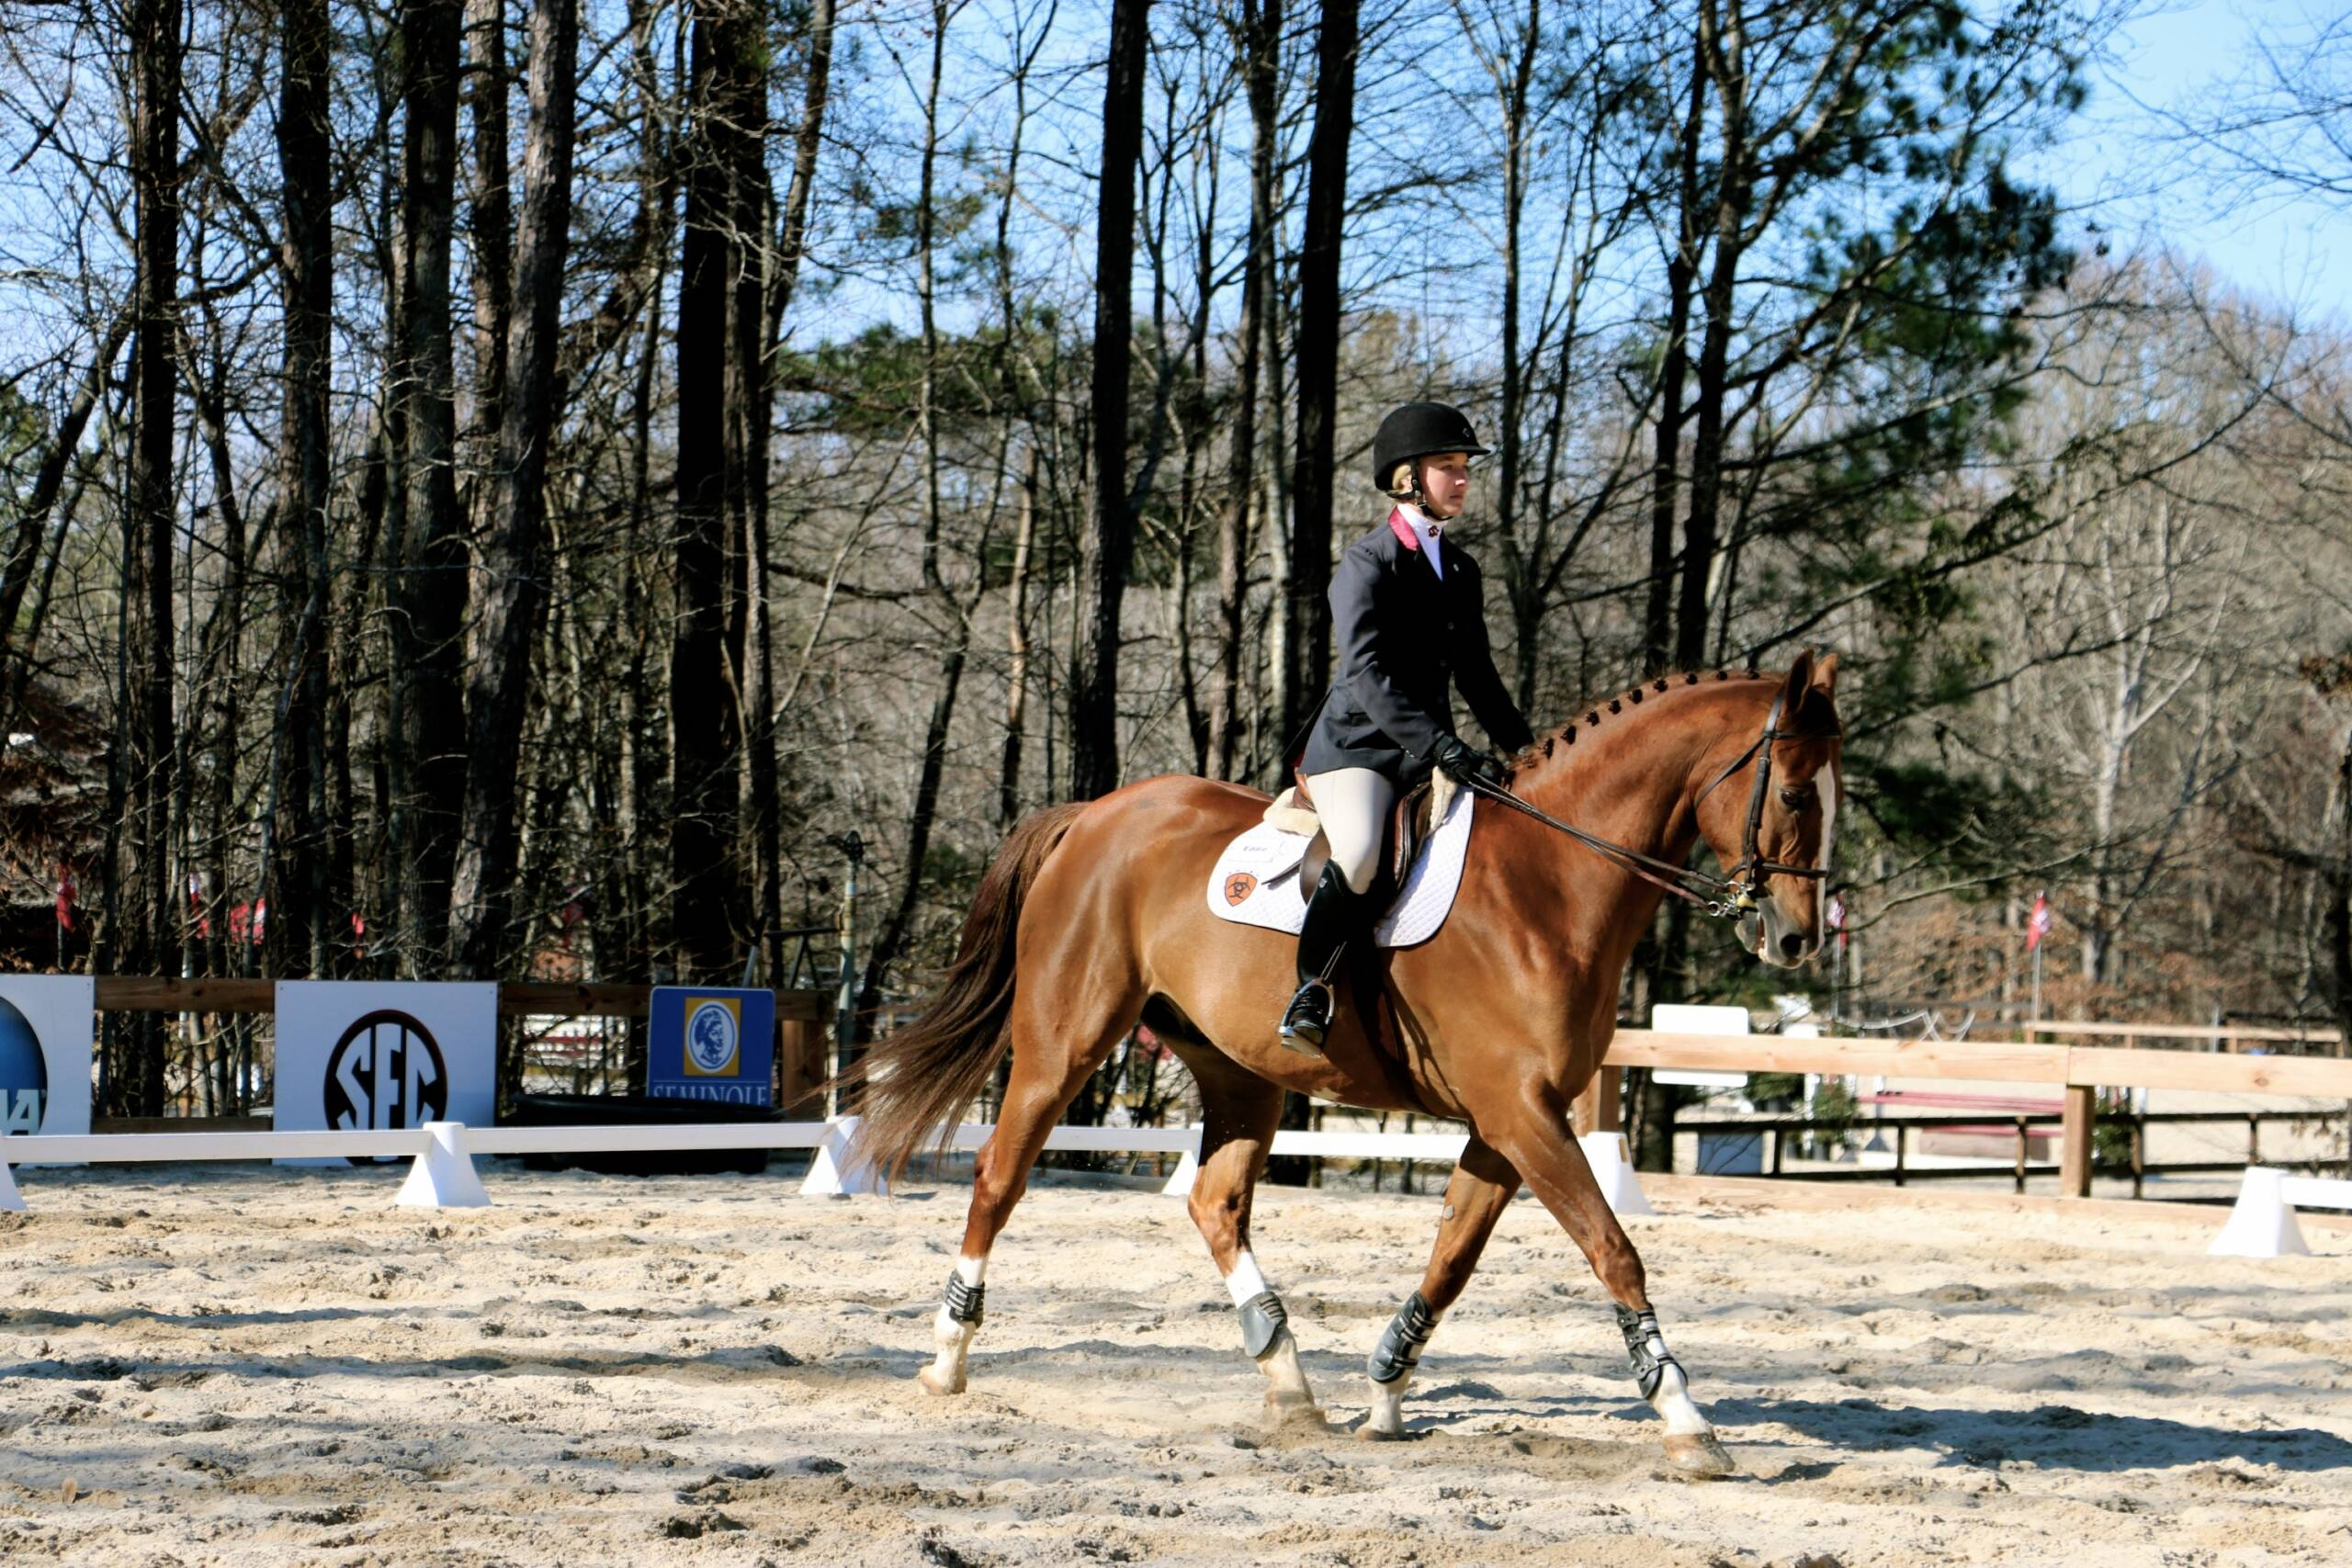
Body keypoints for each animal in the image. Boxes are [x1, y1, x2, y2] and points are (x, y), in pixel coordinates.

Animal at [837, 644, 1844, 1476]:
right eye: (1797, 794)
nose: (1798, 939)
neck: (1550, 882)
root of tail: (1094, 816)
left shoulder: (1506, 1121)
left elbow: (1451, 1258)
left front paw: (1387, 1390)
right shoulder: (1520, 1111)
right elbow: (1613, 1250)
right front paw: (1686, 1421)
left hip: (1238, 1070)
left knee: (1215, 1202)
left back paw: (1288, 1379)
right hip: (1063, 1043)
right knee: (1000, 1176)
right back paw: (946, 1356)